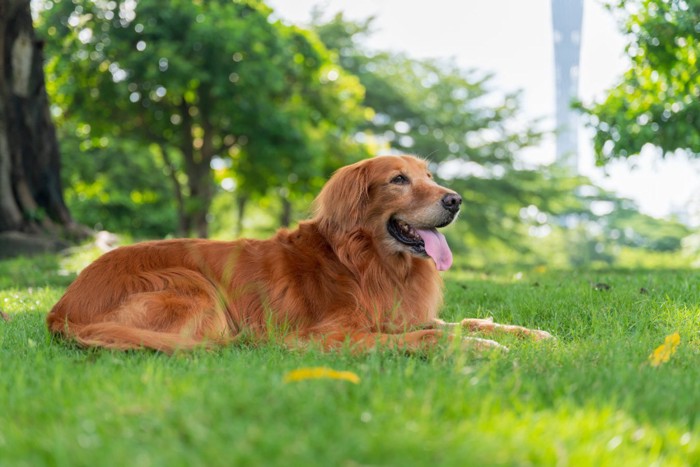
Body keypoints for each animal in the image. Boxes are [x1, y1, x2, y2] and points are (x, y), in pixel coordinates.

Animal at [49, 155, 552, 352]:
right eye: (398, 179)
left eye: (428, 175)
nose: (455, 200)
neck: (362, 261)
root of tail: (61, 309)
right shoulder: (326, 335)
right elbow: (428, 337)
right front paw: (480, 349)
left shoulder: (396, 314)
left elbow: (465, 320)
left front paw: (527, 334)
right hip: (193, 286)